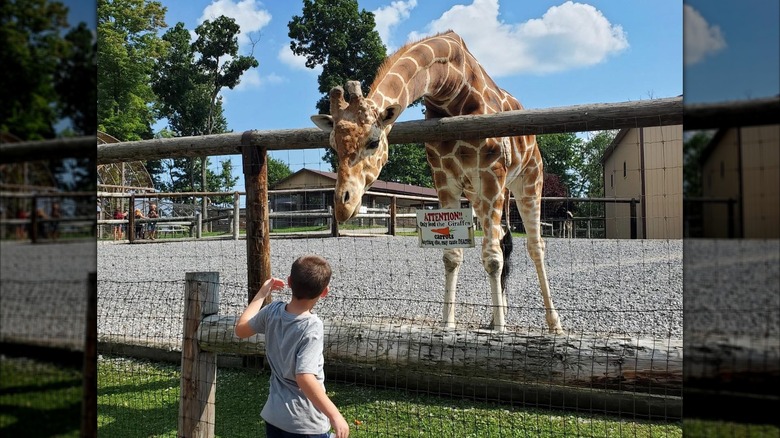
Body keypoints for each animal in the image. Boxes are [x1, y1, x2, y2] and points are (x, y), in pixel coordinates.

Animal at [311, 30, 563, 334]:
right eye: (332, 145)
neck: (449, 89)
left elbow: (491, 258)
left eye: (373, 142)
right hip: (478, 193)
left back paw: (554, 324)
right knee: (504, 239)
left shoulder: (491, 173)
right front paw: (448, 326)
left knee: (534, 246)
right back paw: (495, 318)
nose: (342, 205)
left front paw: (501, 333)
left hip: (528, 177)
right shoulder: (444, 178)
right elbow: (452, 254)